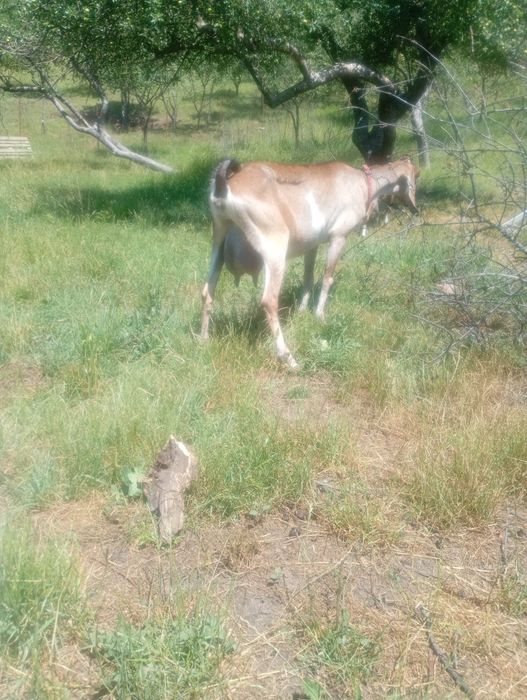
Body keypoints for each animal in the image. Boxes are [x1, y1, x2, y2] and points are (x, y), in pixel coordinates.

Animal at [201, 157, 419, 369]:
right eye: (416, 176)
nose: (415, 209)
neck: (362, 182)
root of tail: (224, 184)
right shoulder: (339, 236)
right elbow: (327, 277)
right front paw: (319, 314)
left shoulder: (311, 245)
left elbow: (308, 277)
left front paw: (302, 310)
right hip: (274, 245)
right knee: (269, 300)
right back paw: (288, 358)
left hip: (219, 236)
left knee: (207, 290)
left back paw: (203, 339)